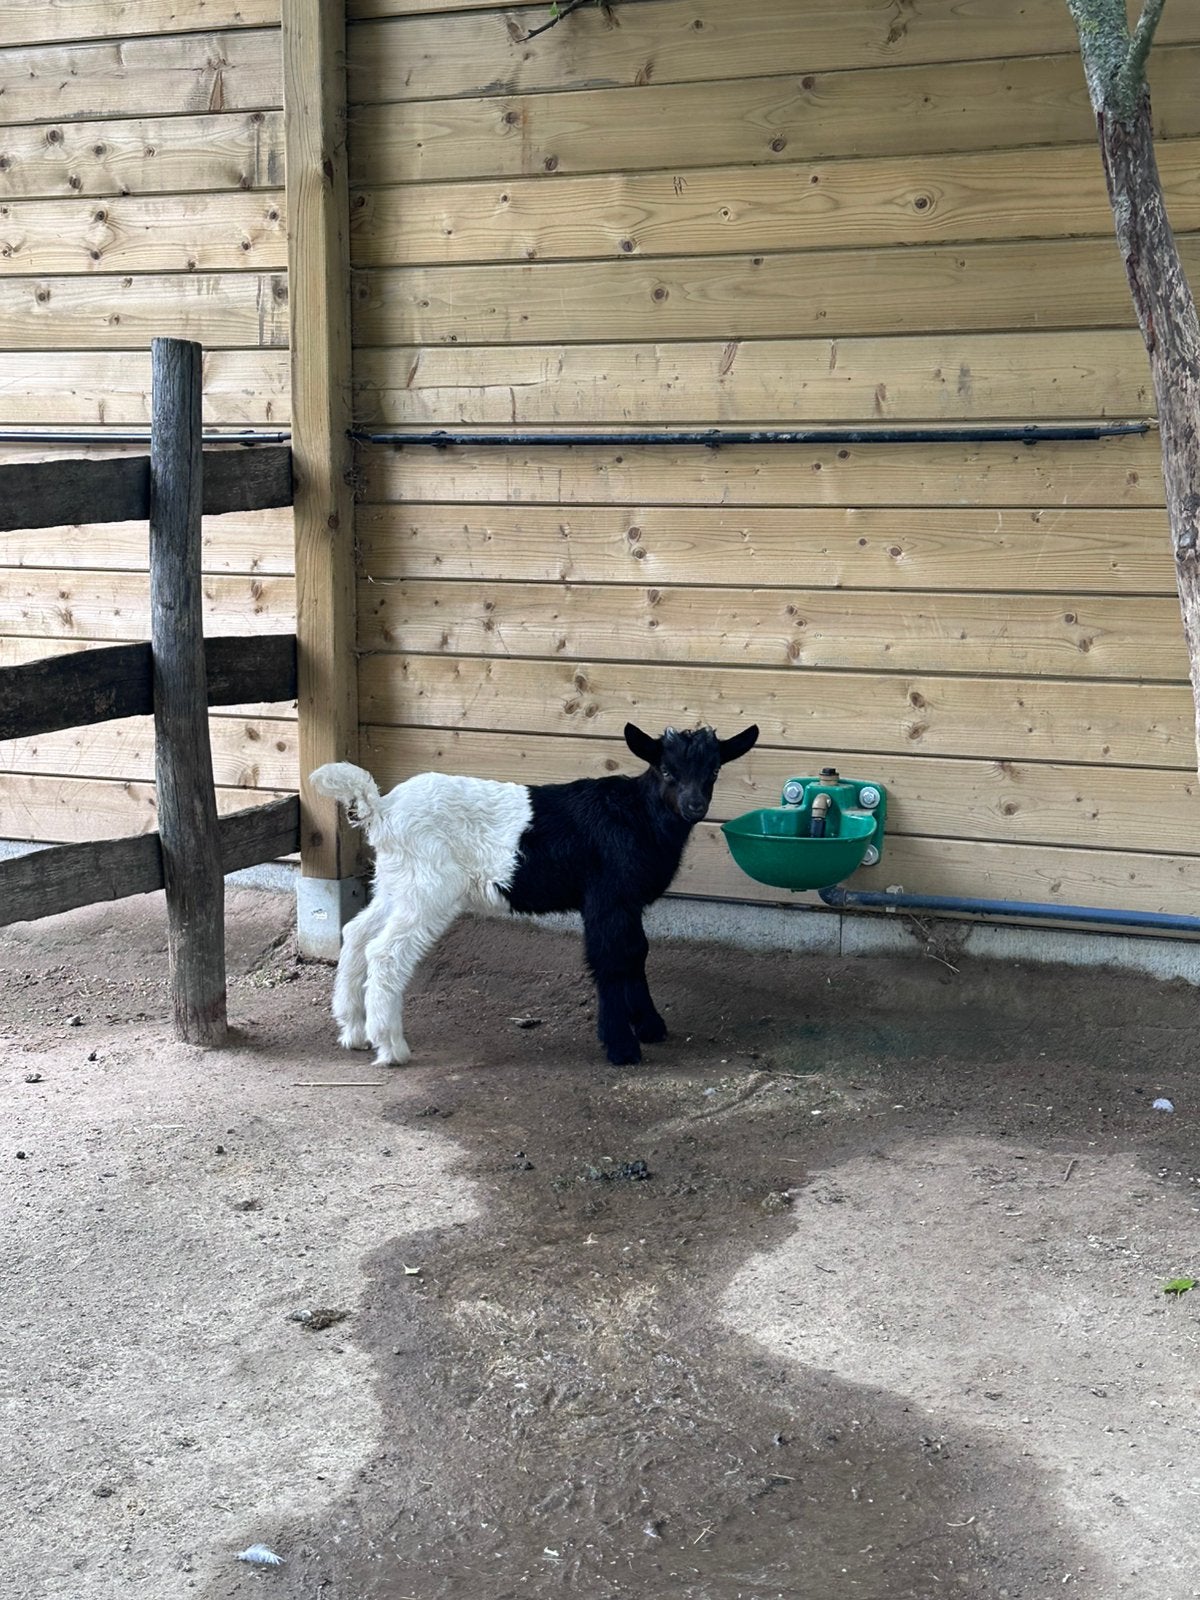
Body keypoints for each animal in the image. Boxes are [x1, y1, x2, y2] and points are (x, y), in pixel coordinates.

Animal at [310, 721, 759, 1067]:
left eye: (714, 770)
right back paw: (391, 1047)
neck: (637, 815)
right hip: (428, 888)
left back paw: (354, 1030)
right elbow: (612, 959)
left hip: (396, 883)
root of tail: (382, 809)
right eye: (666, 770)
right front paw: (622, 1046)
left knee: (356, 933)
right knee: (386, 953)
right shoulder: (607, 897)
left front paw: (649, 1025)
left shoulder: (627, 902)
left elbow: (636, 953)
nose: (695, 805)